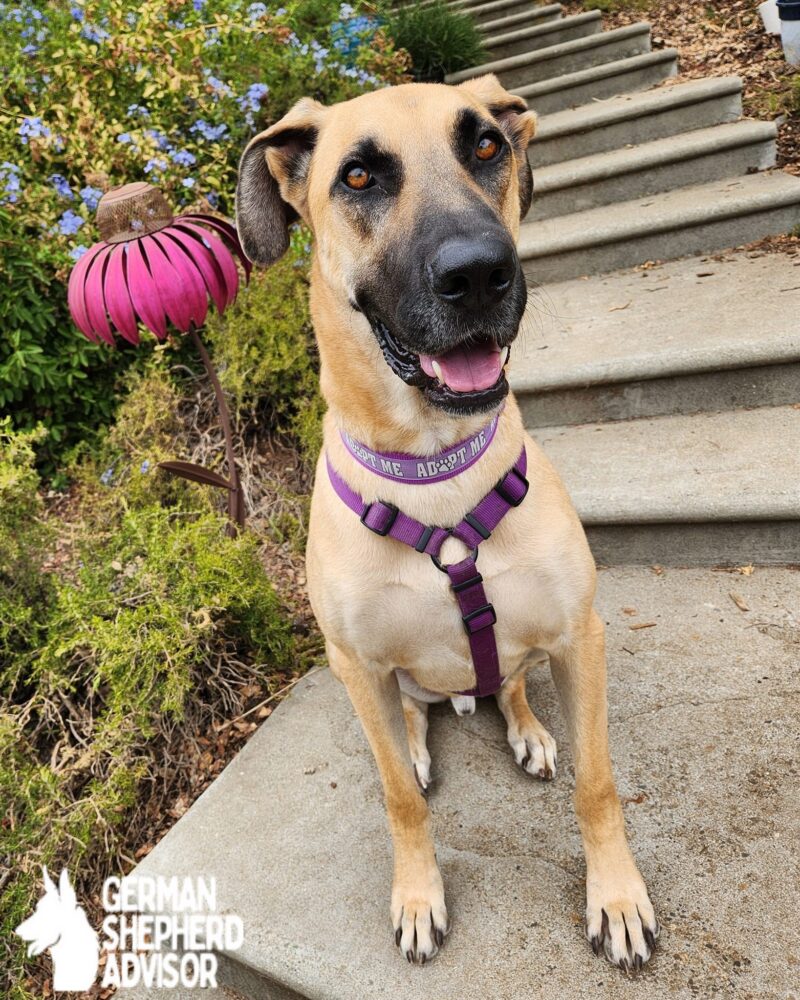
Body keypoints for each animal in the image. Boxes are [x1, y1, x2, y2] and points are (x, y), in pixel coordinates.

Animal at [234, 76, 660, 968]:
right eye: (359, 176)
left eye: (487, 146)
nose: (480, 274)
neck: (436, 473)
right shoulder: (355, 665)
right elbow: (399, 797)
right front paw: (419, 894)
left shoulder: (580, 636)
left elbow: (598, 784)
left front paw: (616, 896)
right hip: (379, 681)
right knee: (409, 718)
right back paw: (423, 736)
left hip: (531, 652)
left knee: (511, 683)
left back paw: (527, 729)